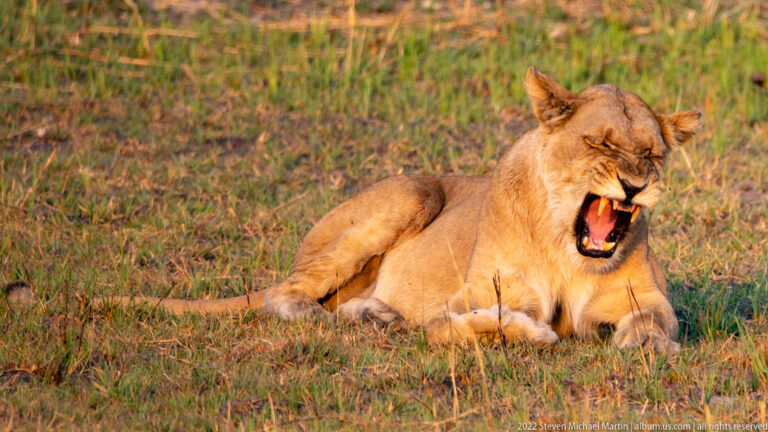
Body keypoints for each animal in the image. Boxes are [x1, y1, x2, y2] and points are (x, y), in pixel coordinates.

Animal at [22, 67, 700, 352]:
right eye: (601, 144)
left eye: (652, 154)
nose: (634, 186)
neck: (567, 248)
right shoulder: (467, 302)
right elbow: (474, 325)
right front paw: (535, 332)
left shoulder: (646, 298)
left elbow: (656, 323)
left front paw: (641, 346)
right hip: (411, 193)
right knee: (285, 295)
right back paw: (337, 319)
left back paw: (376, 317)